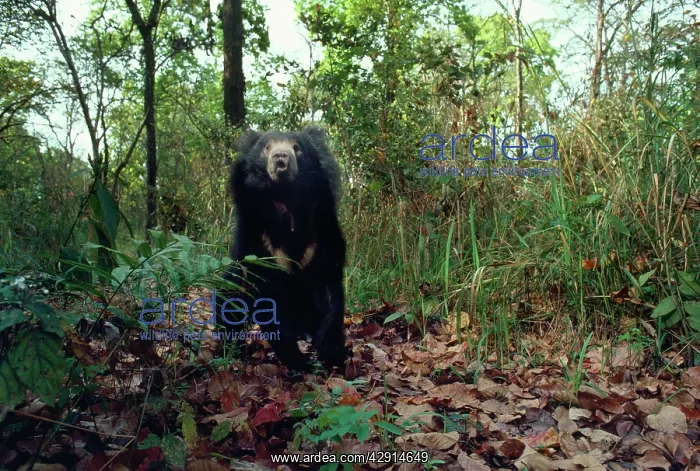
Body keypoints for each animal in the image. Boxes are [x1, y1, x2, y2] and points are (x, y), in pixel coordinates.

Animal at [217, 126, 348, 372]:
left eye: (297, 148)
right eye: (267, 148)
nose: (281, 158)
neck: (286, 199)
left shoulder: (321, 232)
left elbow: (328, 286)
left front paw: (326, 347)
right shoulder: (258, 240)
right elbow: (269, 300)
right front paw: (299, 360)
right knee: (228, 302)